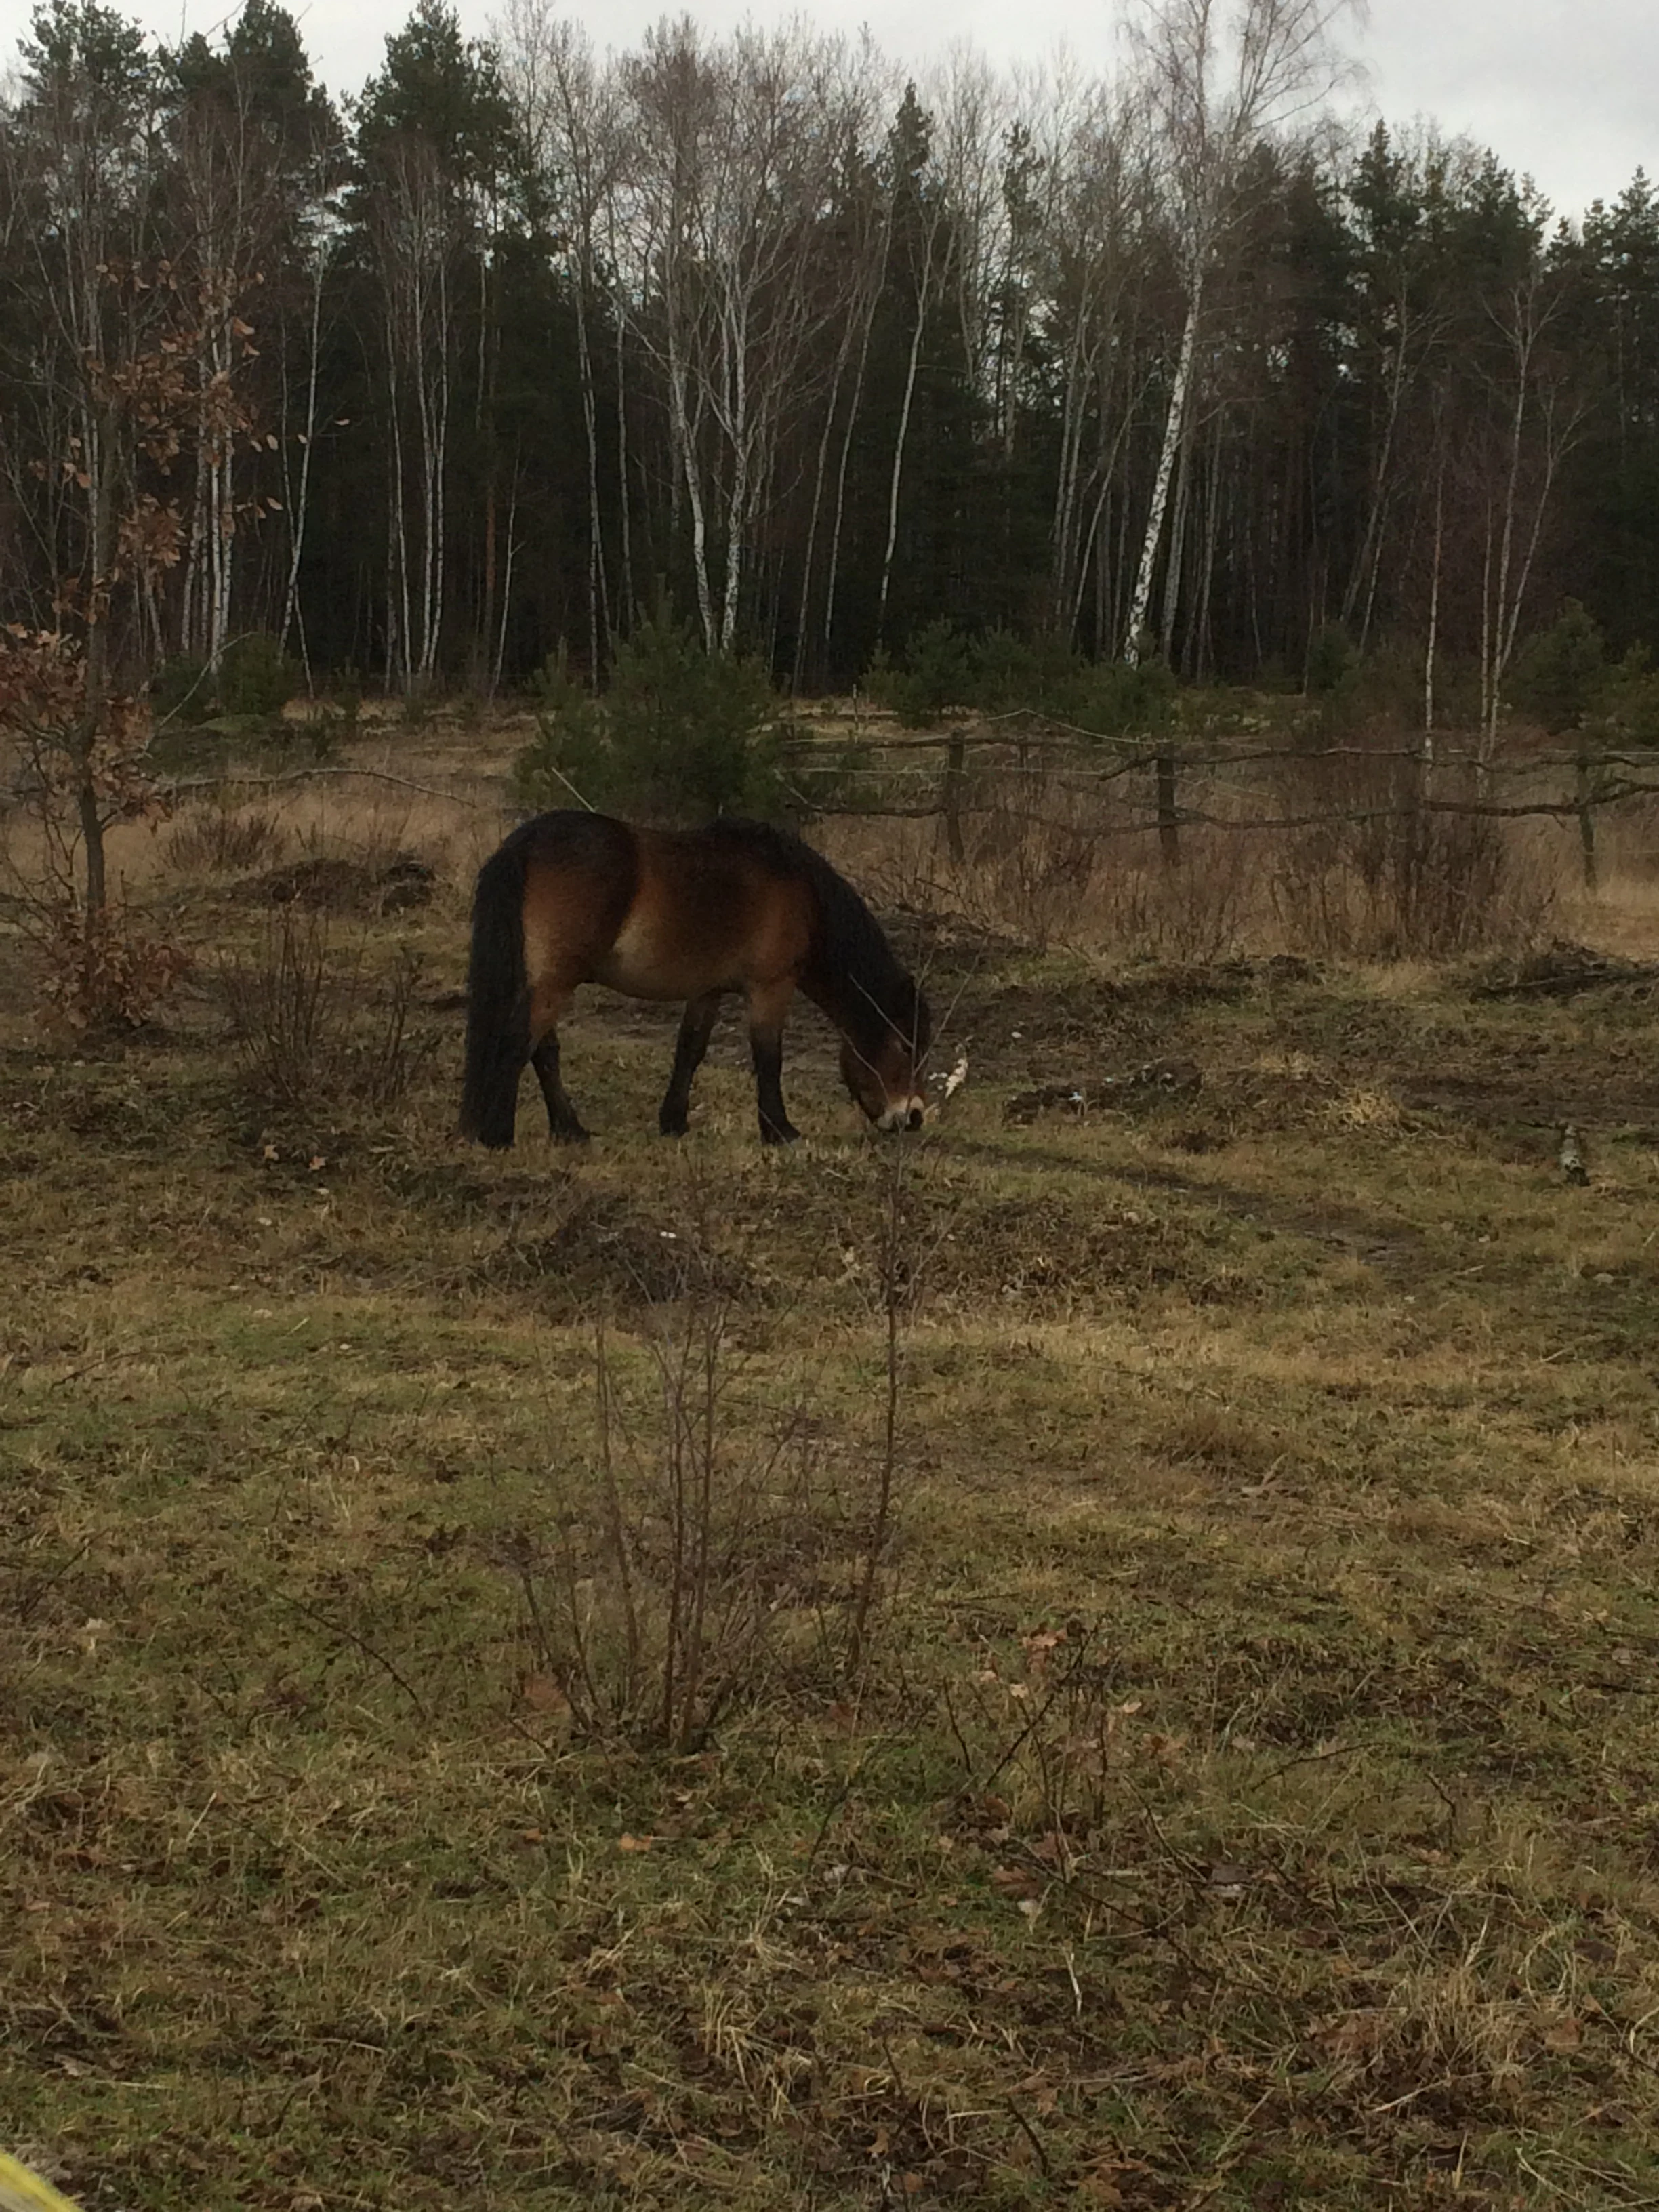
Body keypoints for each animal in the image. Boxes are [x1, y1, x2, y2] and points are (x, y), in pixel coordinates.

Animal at [460, 811, 932, 1147]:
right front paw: (780, 1131)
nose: (912, 1117)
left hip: (544, 978)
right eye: (904, 1045)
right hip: (555, 980)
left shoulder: (709, 989)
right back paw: (499, 1135)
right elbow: (768, 1057)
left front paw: (674, 1121)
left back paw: (569, 1130)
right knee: (519, 1041)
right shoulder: (771, 987)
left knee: (543, 1050)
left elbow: (690, 1049)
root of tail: (525, 844)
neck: (799, 892)